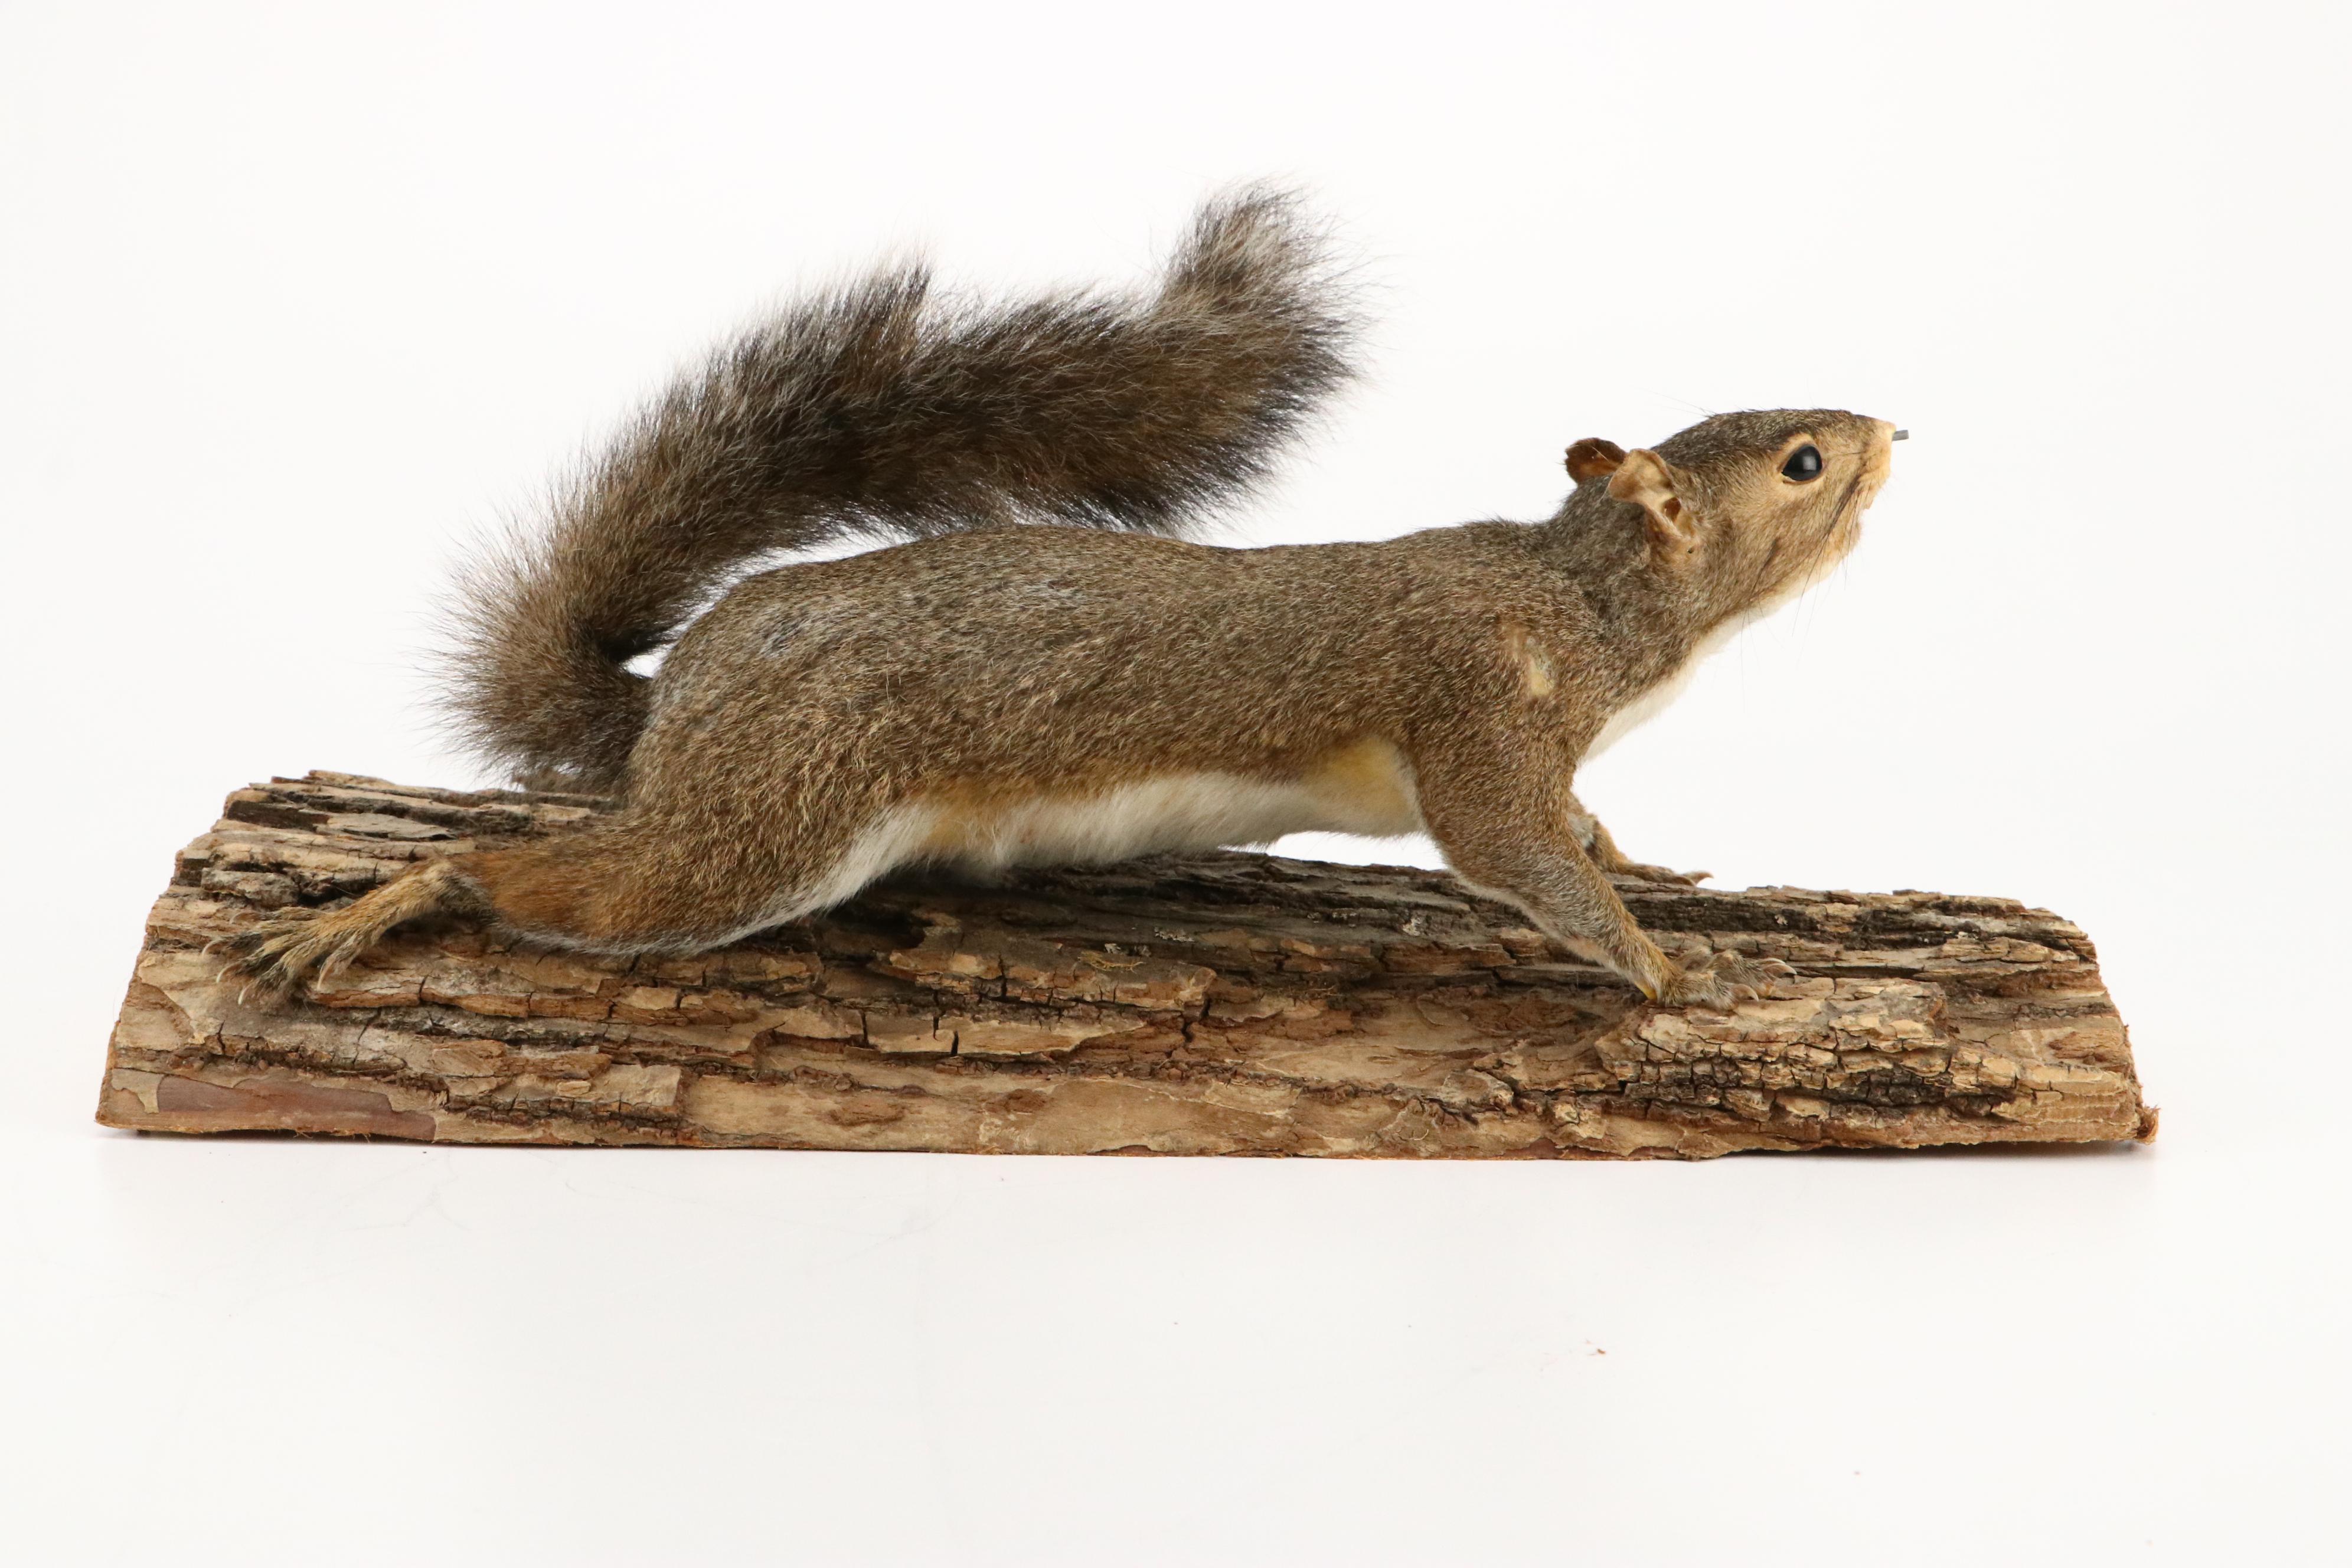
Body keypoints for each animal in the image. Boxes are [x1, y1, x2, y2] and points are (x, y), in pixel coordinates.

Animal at [225, 185, 1897, 1010]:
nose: (1892, 430)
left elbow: (1582, 831)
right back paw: (394, 900)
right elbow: (1512, 852)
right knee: (549, 880)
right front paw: (1657, 961)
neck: (1597, 610)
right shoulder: (1479, 706)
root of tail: (678, 689)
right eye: (1804, 462)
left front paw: (1651, 868)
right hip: (770, 817)